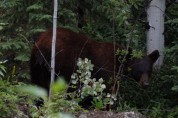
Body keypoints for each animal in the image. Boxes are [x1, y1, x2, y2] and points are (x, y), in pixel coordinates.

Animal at [29, 27, 159, 95]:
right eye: (139, 71)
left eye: (149, 71)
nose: (146, 84)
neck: (119, 62)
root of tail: (42, 45)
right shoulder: (107, 69)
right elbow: (108, 87)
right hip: (61, 63)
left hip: (36, 65)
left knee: (38, 84)